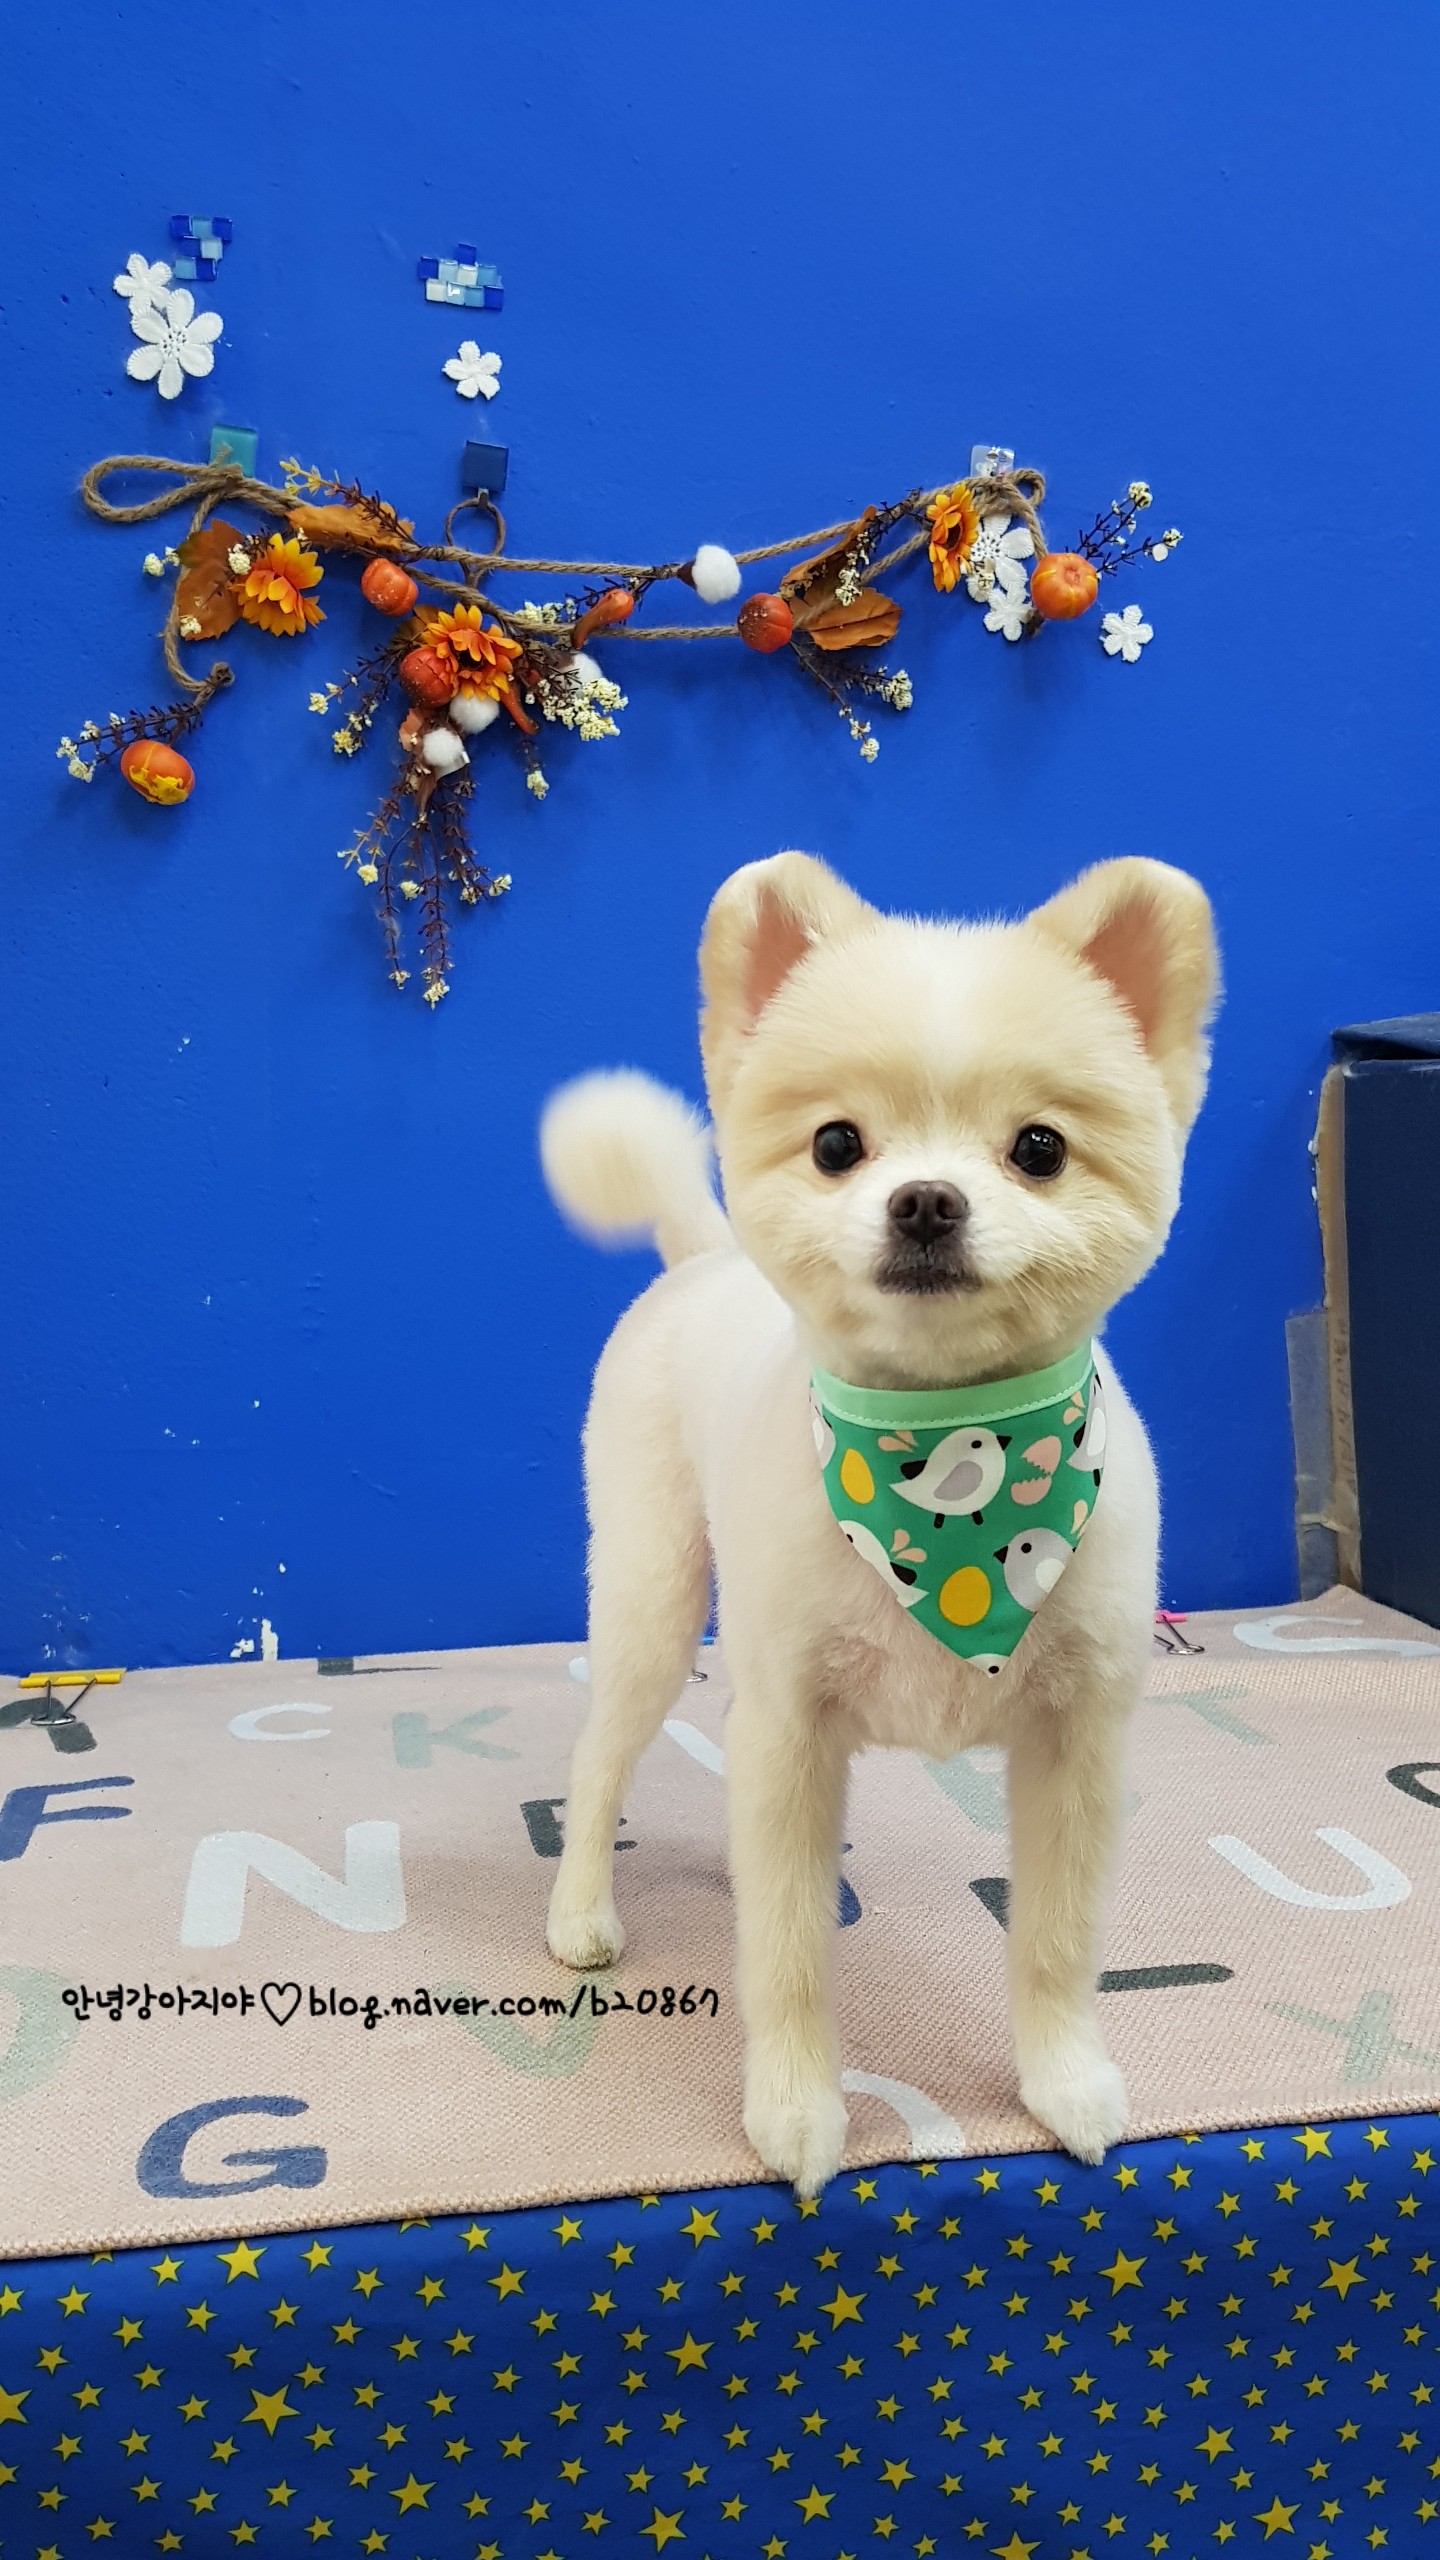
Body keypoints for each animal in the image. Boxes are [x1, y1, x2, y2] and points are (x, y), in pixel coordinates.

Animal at [539, 850, 1218, 2193]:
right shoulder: (793, 1729)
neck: (953, 1471)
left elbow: (1055, 1938)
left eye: (1041, 1148)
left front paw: (1064, 2080)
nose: (925, 1201)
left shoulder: (1076, 1742)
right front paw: (799, 2109)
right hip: (650, 1600)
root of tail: (700, 1259)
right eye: (837, 1143)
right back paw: (581, 1908)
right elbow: (788, 1952)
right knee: (600, 1758)